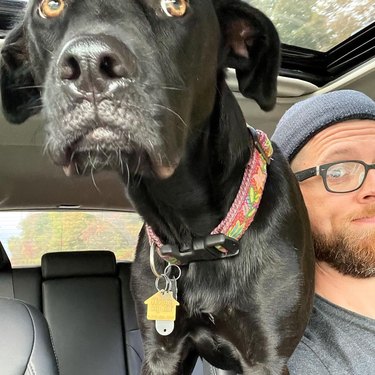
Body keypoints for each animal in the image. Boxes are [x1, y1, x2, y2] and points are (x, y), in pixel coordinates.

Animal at [1, 1, 316, 374]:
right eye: (51, 6)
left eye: (175, 6)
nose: (90, 66)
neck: (195, 237)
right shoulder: (162, 351)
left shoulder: (264, 357)